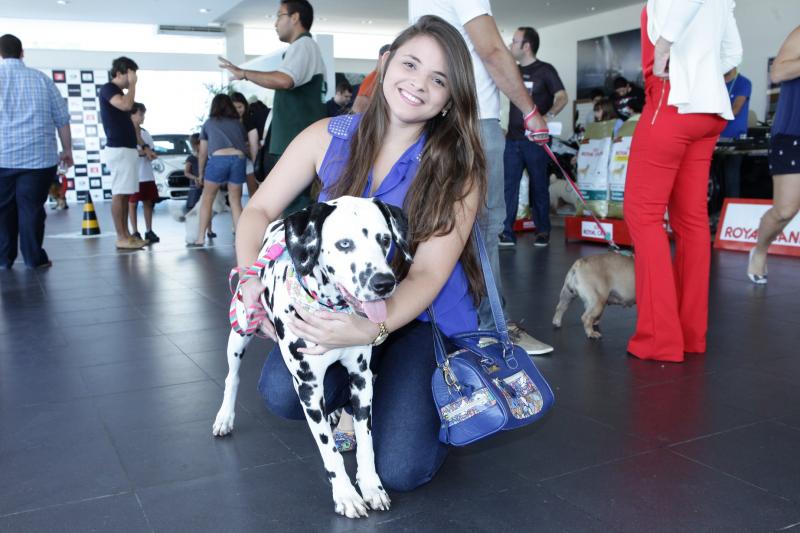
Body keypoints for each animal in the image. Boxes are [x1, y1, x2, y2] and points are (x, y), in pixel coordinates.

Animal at [212, 196, 412, 518]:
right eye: (344, 244)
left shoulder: (361, 378)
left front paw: (371, 486)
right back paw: (224, 418)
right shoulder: (308, 387)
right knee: (233, 376)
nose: (384, 283)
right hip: (241, 327)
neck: (330, 308)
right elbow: (329, 450)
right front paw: (346, 494)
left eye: (384, 240)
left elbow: (366, 440)